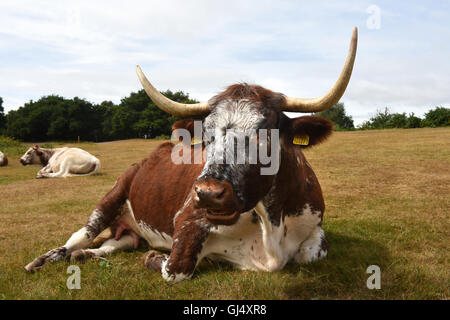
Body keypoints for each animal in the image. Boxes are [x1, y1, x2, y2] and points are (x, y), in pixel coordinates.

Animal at [25, 27, 358, 282]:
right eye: (207, 135)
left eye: (265, 131)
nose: (209, 193)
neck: (271, 226)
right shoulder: (187, 220)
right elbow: (175, 269)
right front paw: (158, 258)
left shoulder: (315, 229)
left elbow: (311, 254)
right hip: (111, 196)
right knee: (80, 235)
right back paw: (45, 259)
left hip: (128, 229)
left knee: (114, 243)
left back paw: (88, 254)